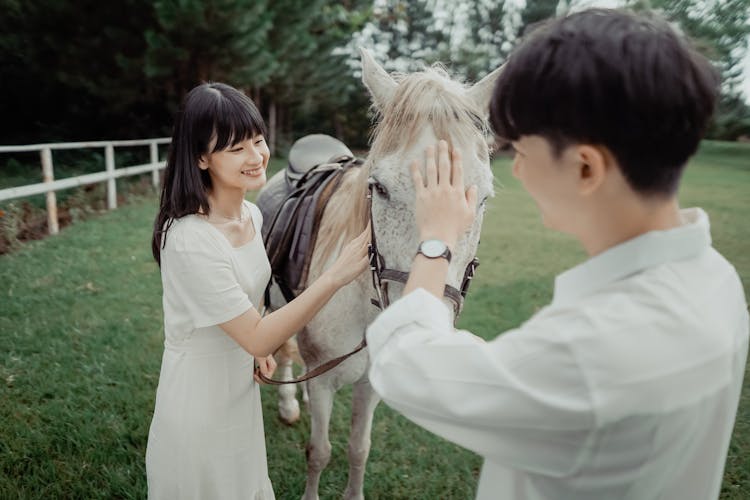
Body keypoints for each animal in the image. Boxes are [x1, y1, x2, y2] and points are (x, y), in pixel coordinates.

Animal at [262, 51, 500, 500]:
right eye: (379, 188)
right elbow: (319, 451)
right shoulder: (325, 383)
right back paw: (288, 403)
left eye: (482, 198)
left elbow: (359, 448)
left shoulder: (369, 386)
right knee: (284, 349)